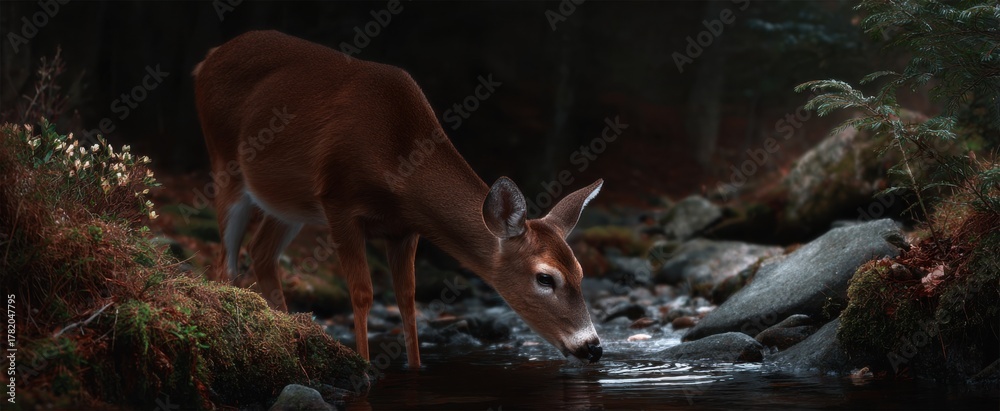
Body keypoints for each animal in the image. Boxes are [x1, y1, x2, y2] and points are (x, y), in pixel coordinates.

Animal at [192, 30, 603, 368]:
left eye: (581, 272)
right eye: (545, 278)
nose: (593, 347)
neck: (399, 164)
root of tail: (207, 58)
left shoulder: (405, 228)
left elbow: (407, 299)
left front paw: (416, 368)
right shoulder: (338, 202)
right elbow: (362, 293)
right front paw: (364, 367)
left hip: (288, 204)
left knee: (261, 251)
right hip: (224, 163)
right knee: (225, 263)